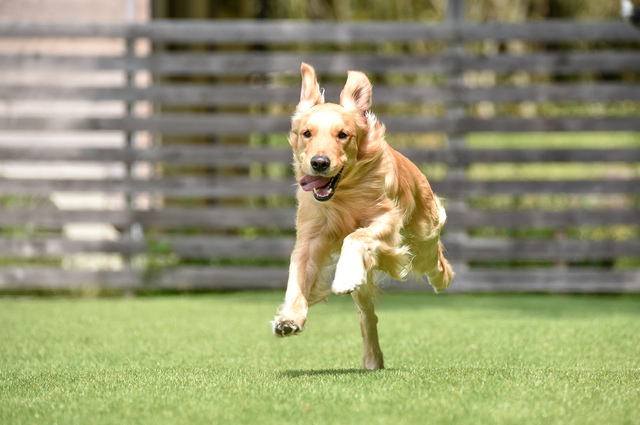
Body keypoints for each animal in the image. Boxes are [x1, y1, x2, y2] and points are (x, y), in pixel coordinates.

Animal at [272, 62, 452, 368]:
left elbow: (355, 236)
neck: (344, 195)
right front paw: (290, 318)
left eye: (343, 134)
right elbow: (297, 277)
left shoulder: (387, 221)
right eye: (307, 133)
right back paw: (372, 358)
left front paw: (344, 277)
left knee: (437, 262)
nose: (319, 163)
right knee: (368, 315)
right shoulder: (310, 238)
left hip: (423, 237)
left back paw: (441, 280)